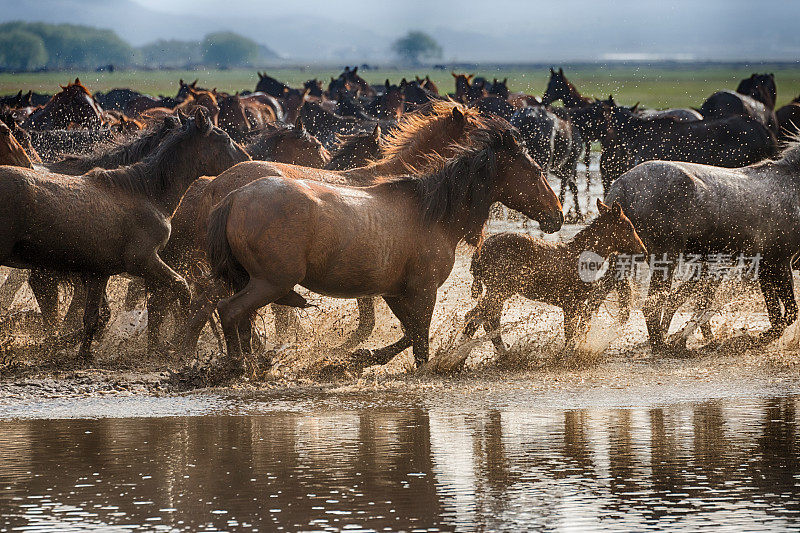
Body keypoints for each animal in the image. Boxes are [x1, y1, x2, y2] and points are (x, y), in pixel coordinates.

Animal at [0, 110, 250, 364]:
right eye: (225, 138)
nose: (248, 160)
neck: (146, 192)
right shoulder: (143, 261)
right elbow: (179, 290)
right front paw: (175, 339)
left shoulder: (98, 272)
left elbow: (94, 317)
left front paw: (84, 354)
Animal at [462, 200, 644, 354]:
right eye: (630, 228)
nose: (643, 251)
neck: (586, 259)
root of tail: (477, 256)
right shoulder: (572, 302)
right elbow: (570, 336)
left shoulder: (573, 303)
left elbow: (574, 333)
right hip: (499, 289)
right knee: (474, 317)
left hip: (498, 291)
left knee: (489, 320)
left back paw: (503, 354)